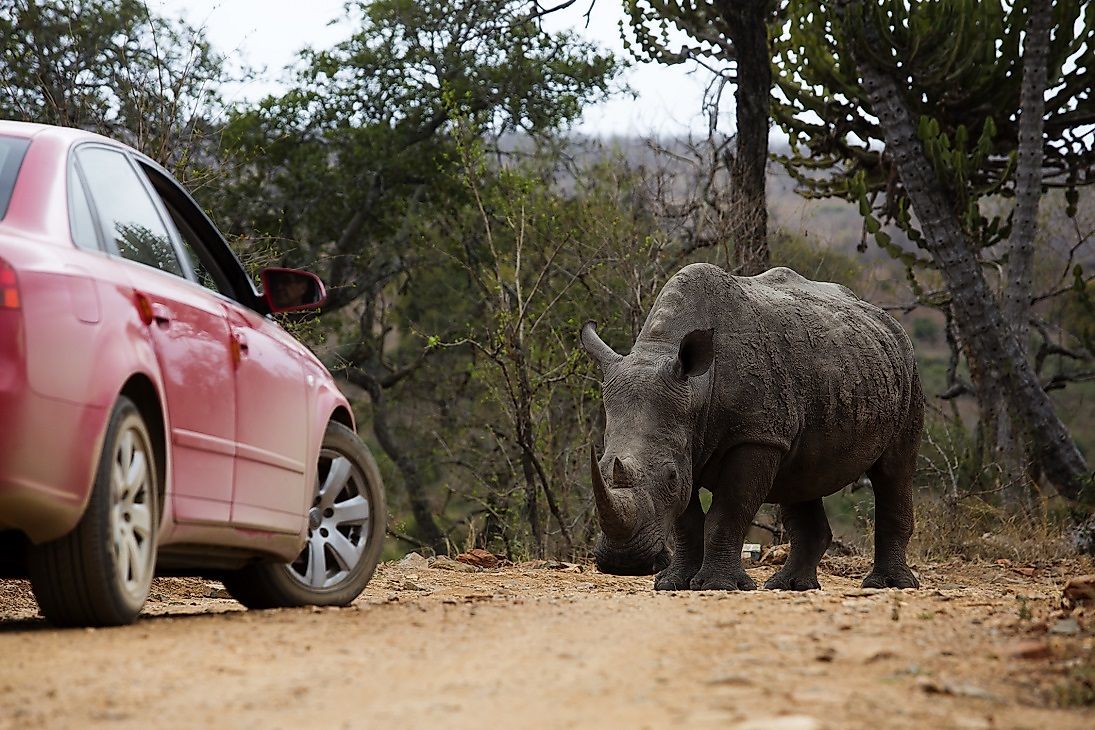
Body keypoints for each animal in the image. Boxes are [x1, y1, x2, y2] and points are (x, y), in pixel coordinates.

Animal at [581, 263, 922, 591]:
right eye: (601, 465)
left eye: (670, 477)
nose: (623, 563)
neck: (696, 388)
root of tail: (888, 322)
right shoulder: (688, 442)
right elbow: (686, 521)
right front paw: (672, 584)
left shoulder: (755, 436)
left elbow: (727, 513)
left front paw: (718, 586)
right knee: (802, 476)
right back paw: (789, 586)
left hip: (908, 368)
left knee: (895, 469)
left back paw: (888, 585)